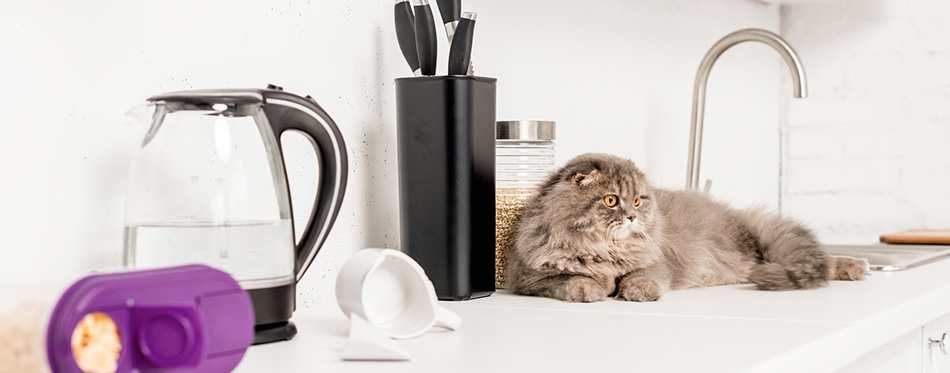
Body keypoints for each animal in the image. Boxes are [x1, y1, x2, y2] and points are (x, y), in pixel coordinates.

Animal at [510, 153, 872, 300]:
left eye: (637, 200)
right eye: (611, 200)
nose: (631, 217)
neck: (606, 251)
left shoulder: (657, 263)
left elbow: (642, 277)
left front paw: (637, 292)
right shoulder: (530, 278)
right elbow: (570, 279)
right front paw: (591, 289)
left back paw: (859, 266)